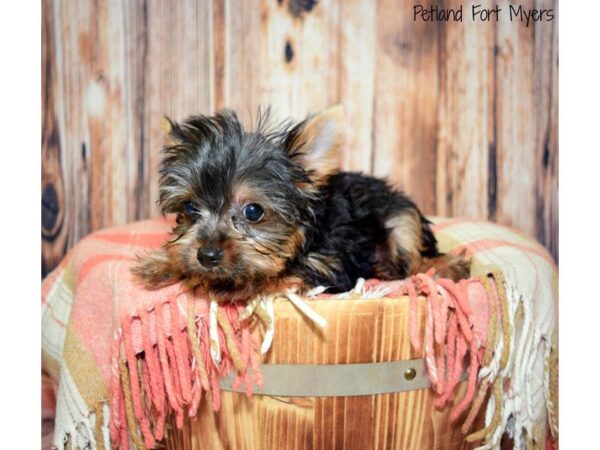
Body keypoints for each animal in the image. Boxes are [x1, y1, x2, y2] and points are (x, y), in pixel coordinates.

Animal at [134, 106, 472, 300]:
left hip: (401, 219)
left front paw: (229, 283)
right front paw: (162, 264)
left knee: (417, 259)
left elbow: (278, 275)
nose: (207, 255)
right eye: (190, 208)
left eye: (253, 211)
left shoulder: (330, 266)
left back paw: (448, 265)